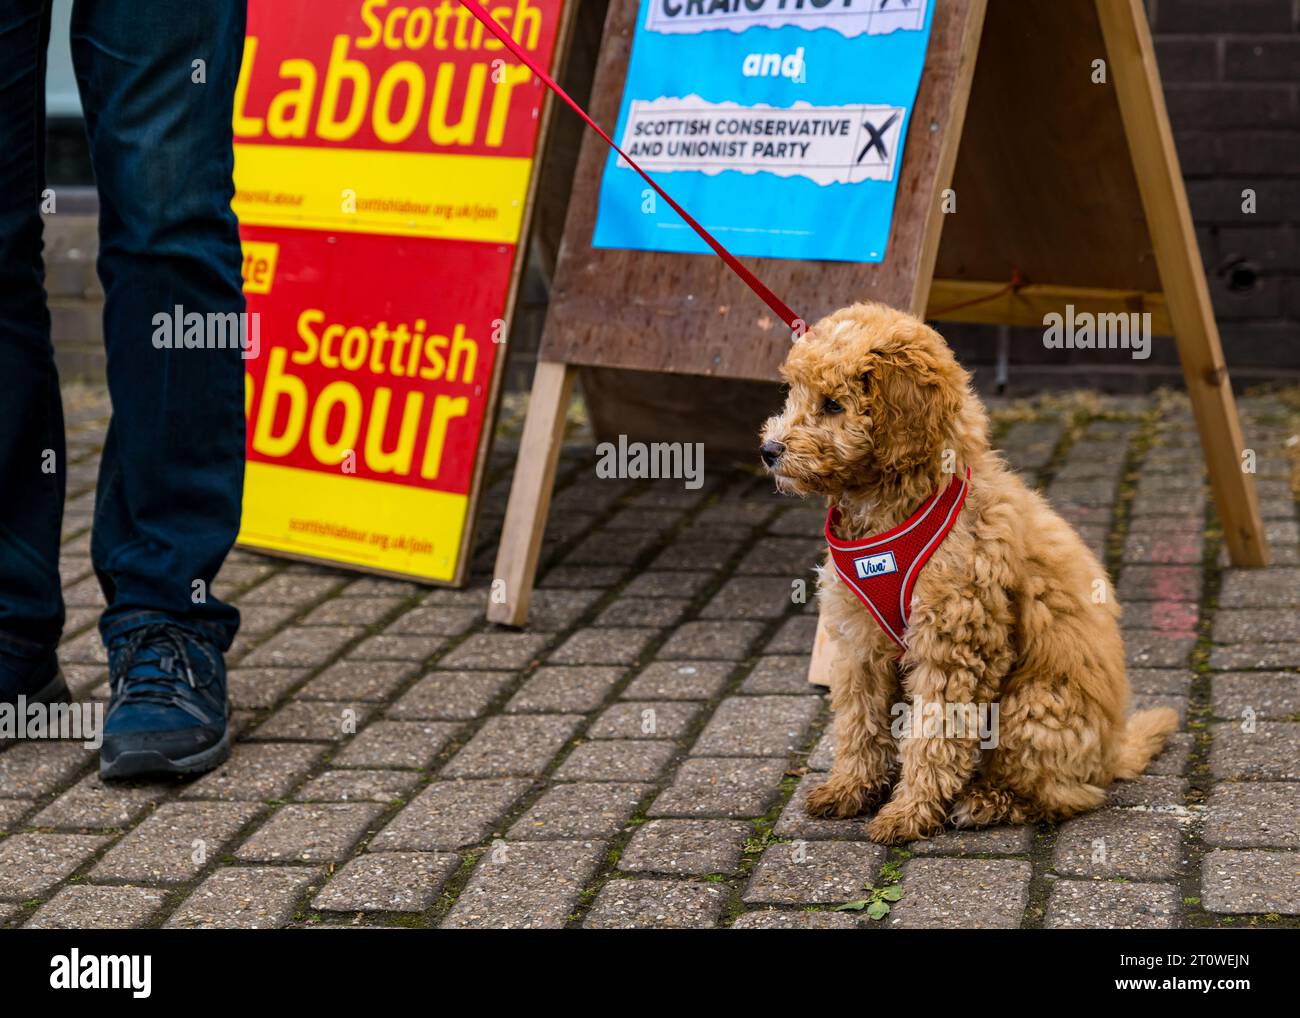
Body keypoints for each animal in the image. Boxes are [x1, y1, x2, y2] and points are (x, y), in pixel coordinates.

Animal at [759, 302, 1180, 842]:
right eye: (793, 393)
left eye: (834, 405)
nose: (769, 451)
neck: (898, 503)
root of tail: (1110, 755)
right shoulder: (859, 642)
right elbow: (858, 722)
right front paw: (850, 788)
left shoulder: (954, 642)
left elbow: (935, 732)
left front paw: (909, 811)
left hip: (1031, 707)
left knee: (1063, 795)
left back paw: (988, 801)